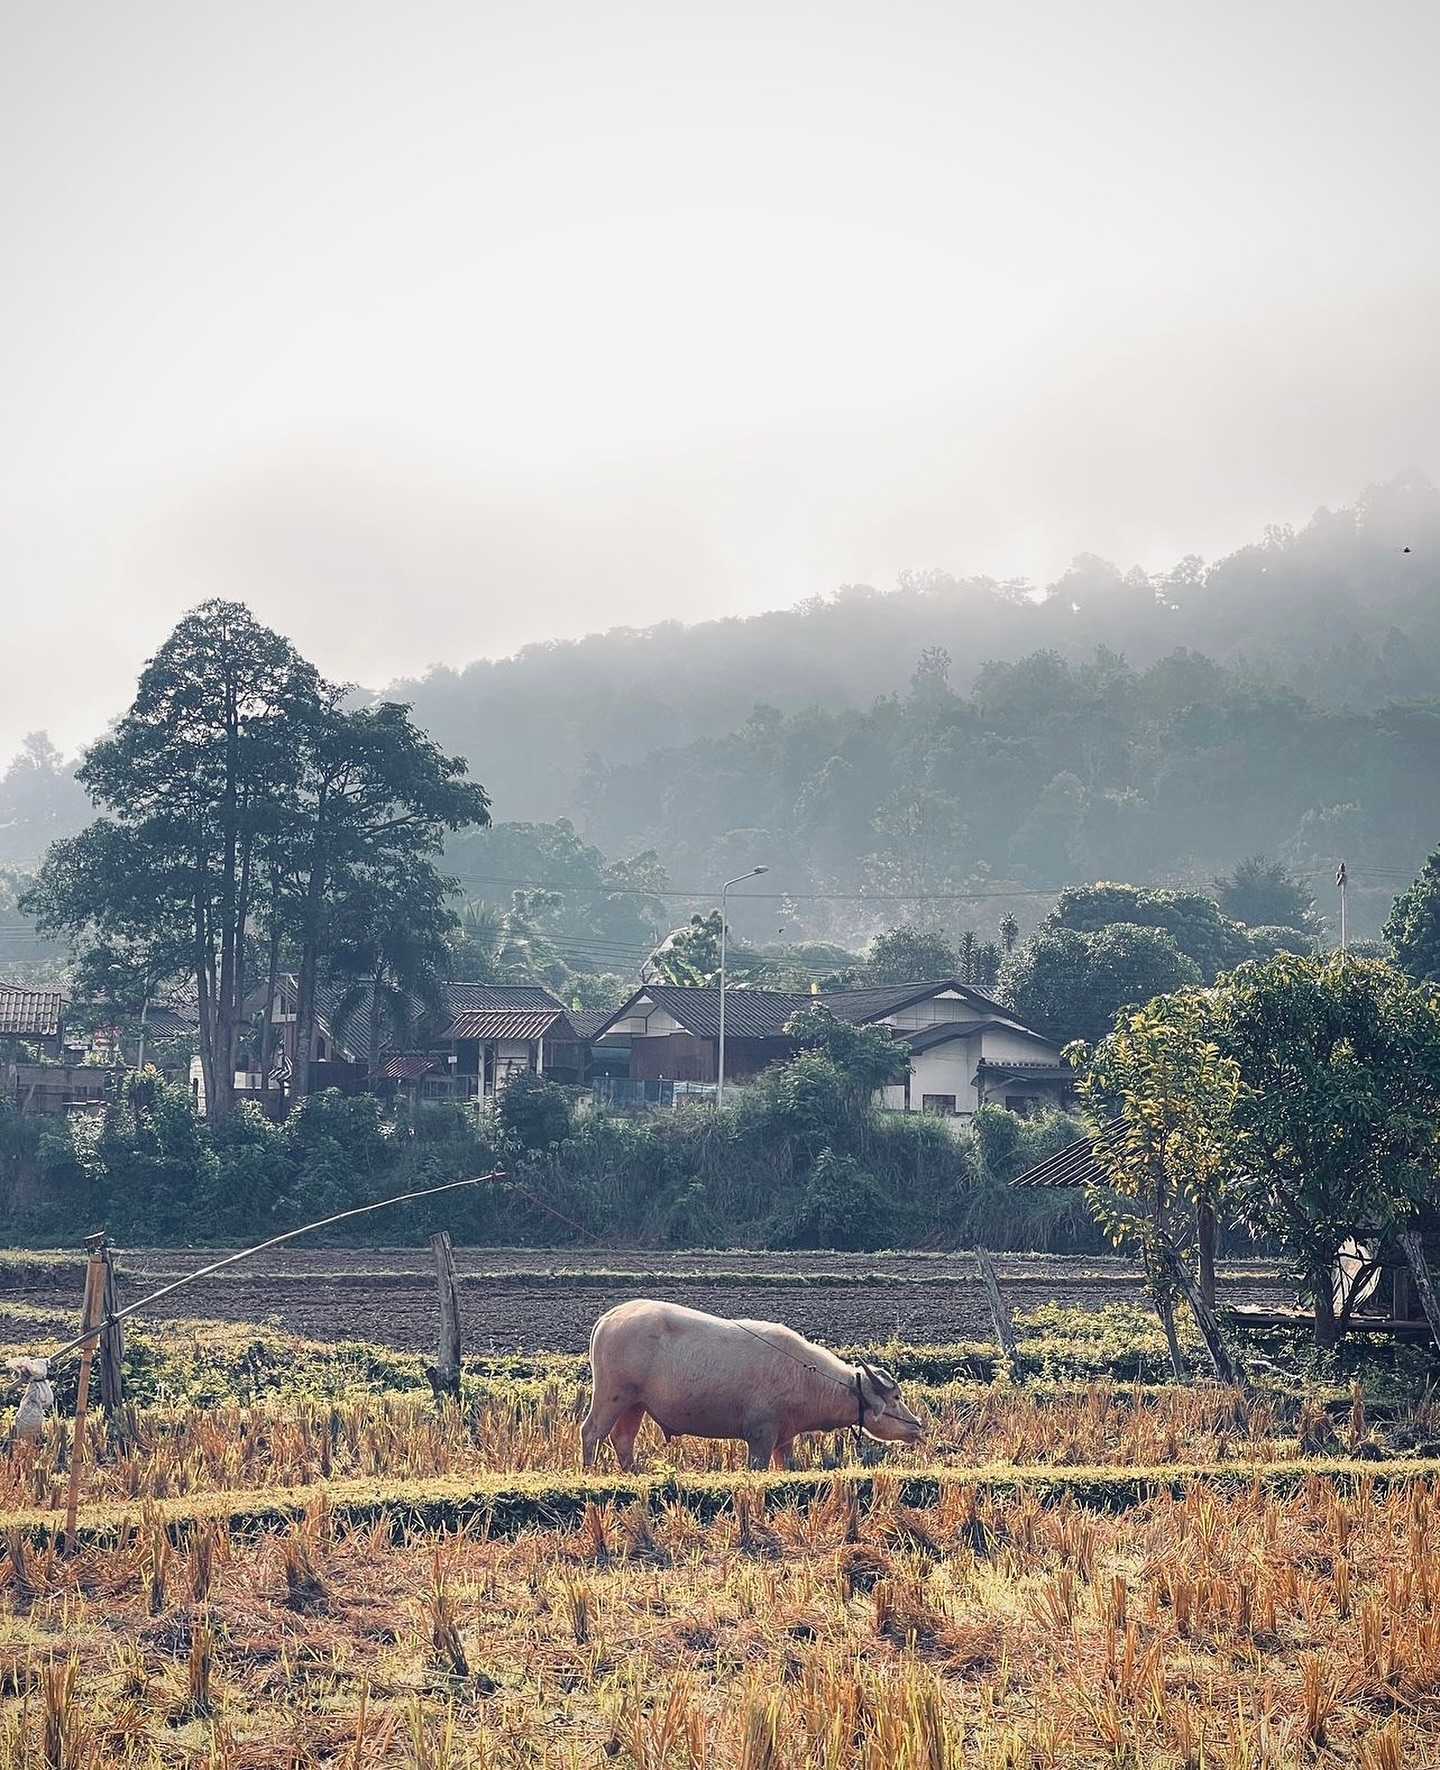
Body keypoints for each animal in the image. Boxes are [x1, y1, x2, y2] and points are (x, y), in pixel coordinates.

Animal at [576, 1295, 926, 1472]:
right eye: (895, 1397)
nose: (918, 1426)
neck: (803, 1375)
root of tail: (610, 1317)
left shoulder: (784, 1439)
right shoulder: (760, 1436)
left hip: (635, 1404)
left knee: (622, 1439)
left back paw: (633, 1473)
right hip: (612, 1395)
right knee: (591, 1432)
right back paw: (590, 1471)